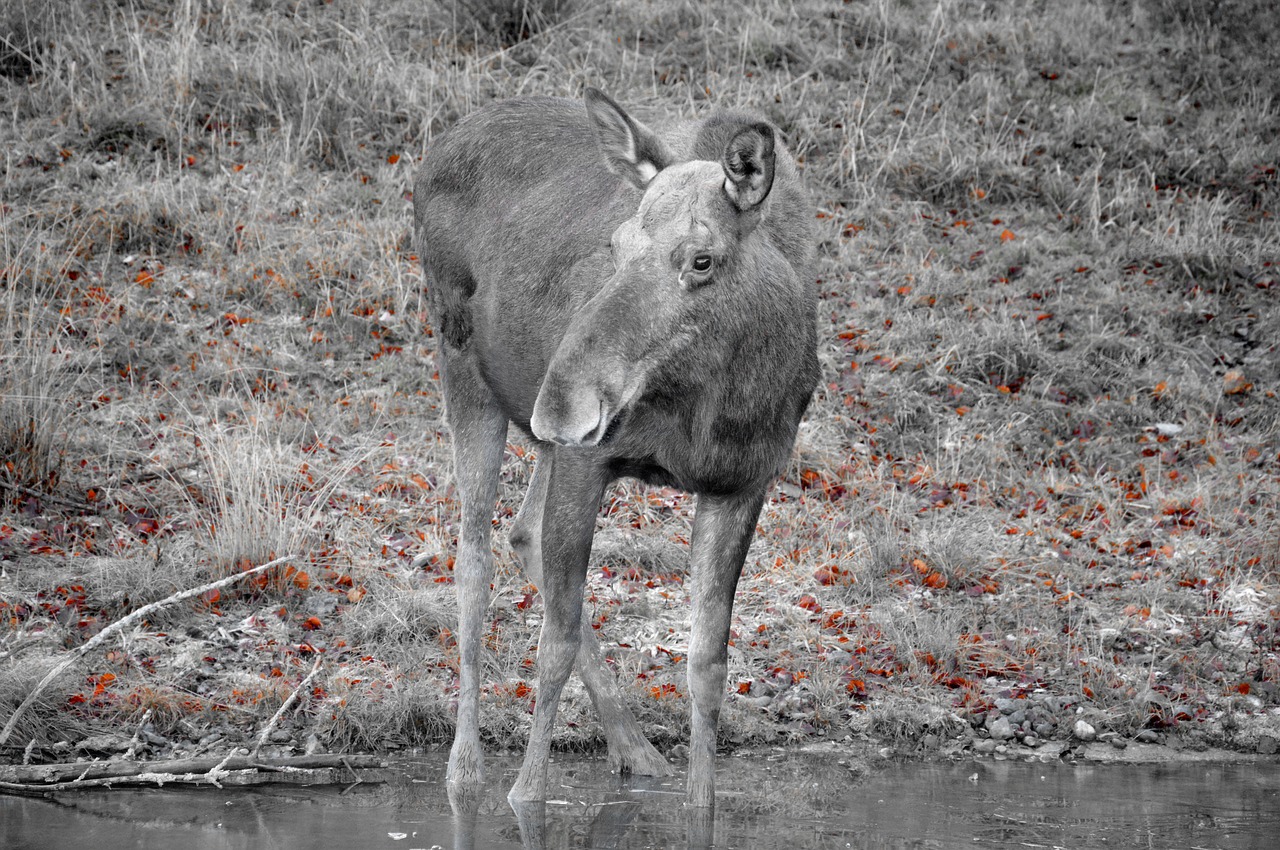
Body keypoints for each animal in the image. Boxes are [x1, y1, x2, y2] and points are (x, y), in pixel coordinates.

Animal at [414, 87, 824, 809]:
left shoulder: (743, 483)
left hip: (541, 436)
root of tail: (441, 142)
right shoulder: (590, 459)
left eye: (702, 258)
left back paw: (635, 749)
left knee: (522, 533)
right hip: (463, 368)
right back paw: (465, 769)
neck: (716, 405)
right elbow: (552, 646)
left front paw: (698, 801)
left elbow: (707, 664)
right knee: (474, 557)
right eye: (617, 244)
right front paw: (525, 794)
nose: (560, 400)